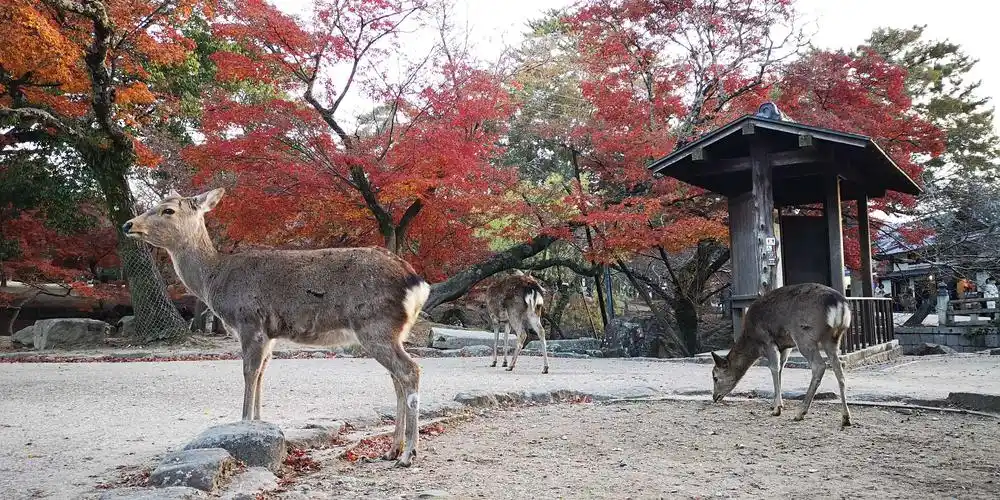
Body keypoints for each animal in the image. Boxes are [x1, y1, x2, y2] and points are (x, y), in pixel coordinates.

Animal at [122, 188, 430, 467]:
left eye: (168, 210)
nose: (128, 225)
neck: (215, 281)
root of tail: (416, 282)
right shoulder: (269, 335)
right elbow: (261, 374)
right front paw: (259, 425)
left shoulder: (250, 323)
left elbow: (249, 372)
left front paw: (243, 424)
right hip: (390, 331)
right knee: (396, 378)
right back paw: (391, 450)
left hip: (375, 325)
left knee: (410, 370)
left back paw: (408, 454)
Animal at [709, 282, 853, 428]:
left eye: (715, 377)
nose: (714, 397)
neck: (753, 341)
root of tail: (840, 304)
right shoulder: (785, 347)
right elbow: (781, 368)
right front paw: (776, 404)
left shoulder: (768, 341)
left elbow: (774, 368)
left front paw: (777, 408)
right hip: (833, 338)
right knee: (839, 369)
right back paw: (846, 417)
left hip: (804, 335)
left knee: (819, 366)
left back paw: (800, 412)